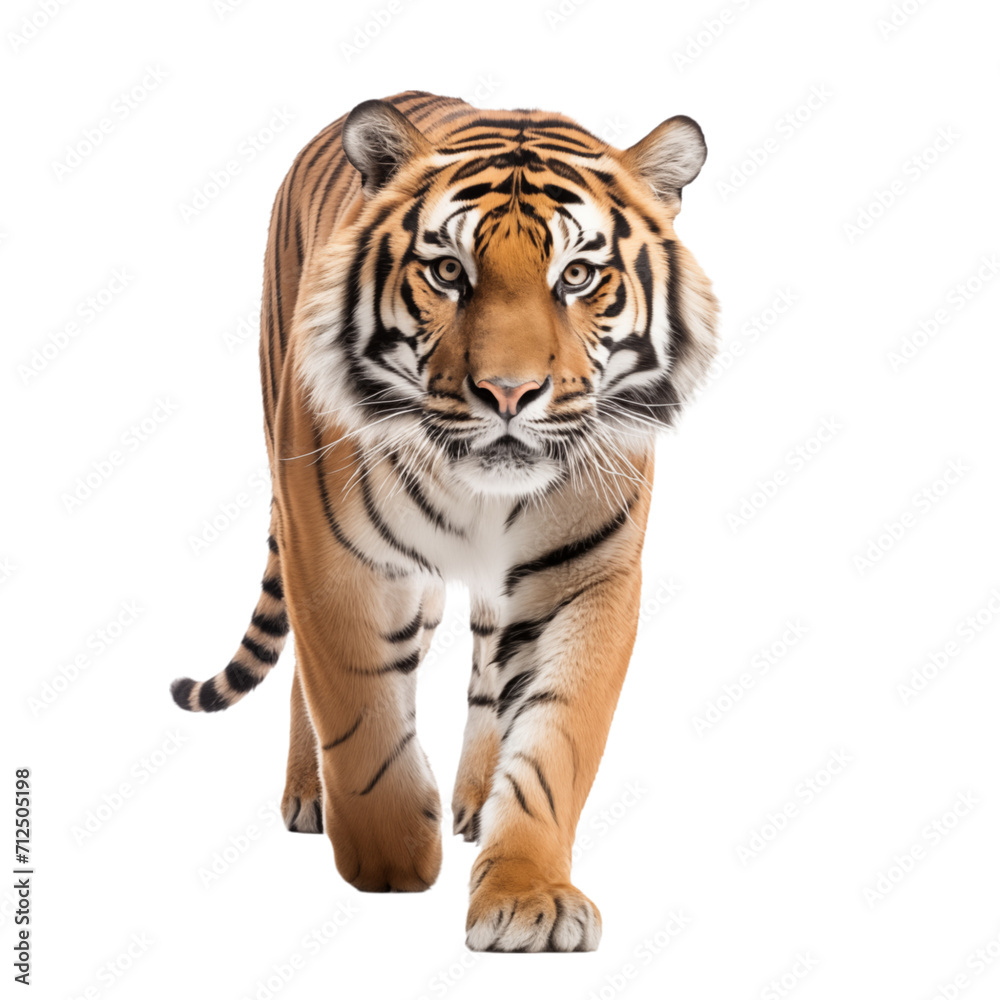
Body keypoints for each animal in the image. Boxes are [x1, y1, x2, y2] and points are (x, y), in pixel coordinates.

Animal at [171, 90, 718, 952]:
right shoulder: (341, 561)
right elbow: (359, 722)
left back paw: (473, 801)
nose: (508, 393)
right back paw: (311, 795)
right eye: (448, 271)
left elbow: (556, 740)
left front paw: (528, 896)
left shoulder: (586, 577)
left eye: (578, 275)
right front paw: (391, 861)